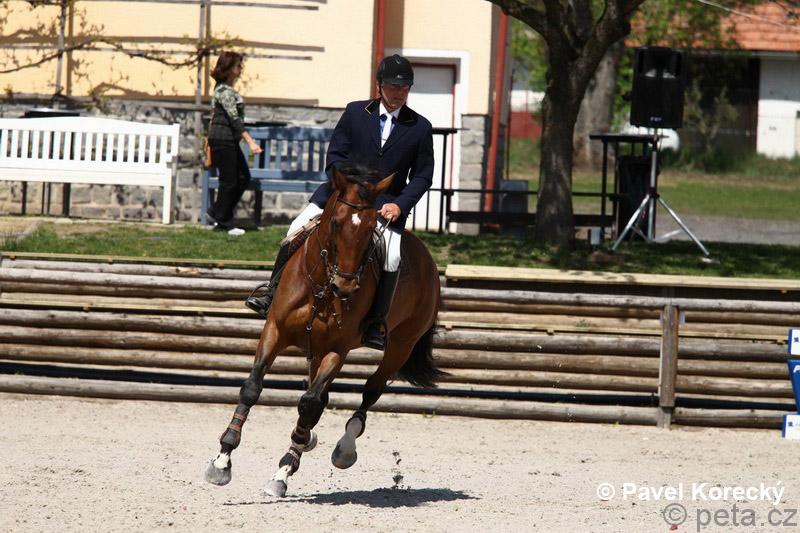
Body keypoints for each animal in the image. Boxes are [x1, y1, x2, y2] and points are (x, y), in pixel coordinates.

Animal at [204, 163, 444, 497]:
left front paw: (283, 471)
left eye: (371, 228)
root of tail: (428, 259)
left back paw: (343, 449)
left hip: (400, 346)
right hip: (316, 347)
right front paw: (222, 460)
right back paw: (308, 439)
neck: (321, 286)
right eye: (335, 223)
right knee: (321, 395)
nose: (345, 287)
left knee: (368, 391)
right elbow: (252, 388)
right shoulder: (275, 330)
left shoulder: (337, 350)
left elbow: (309, 403)